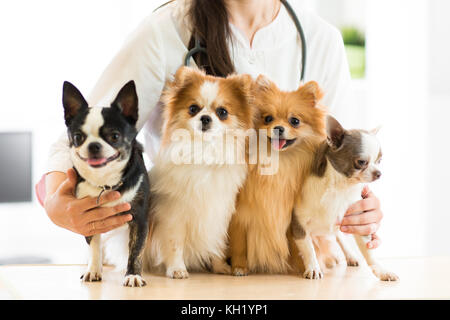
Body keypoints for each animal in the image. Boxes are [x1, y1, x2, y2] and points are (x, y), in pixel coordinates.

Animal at [62, 80, 150, 288]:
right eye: (78, 137)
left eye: (115, 136)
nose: (93, 145)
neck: (105, 183)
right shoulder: (89, 220)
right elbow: (94, 246)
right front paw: (93, 270)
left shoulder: (140, 219)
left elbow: (136, 251)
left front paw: (133, 275)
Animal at [146, 67, 255, 278]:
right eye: (193, 109)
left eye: (222, 112)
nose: (205, 118)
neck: (204, 150)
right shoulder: (173, 215)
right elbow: (174, 243)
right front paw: (177, 269)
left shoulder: (218, 214)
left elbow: (216, 242)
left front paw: (220, 266)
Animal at [229, 75, 326, 276]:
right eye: (268, 118)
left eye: (295, 121)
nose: (278, 128)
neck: (280, 162)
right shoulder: (239, 216)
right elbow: (239, 245)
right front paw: (239, 267)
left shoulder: (292, 220)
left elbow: (299, 246)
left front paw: (304, 266)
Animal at [290, 115, 400, 280]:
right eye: (361, 162)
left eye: (379, 161)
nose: (379, 173)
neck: (340, 187)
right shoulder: (298, 225)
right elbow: (308, 248)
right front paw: (313, 267)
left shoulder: (358, 221)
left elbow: (369, 252)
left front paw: (381, 270)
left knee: (339, 236)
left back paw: (350, 256)